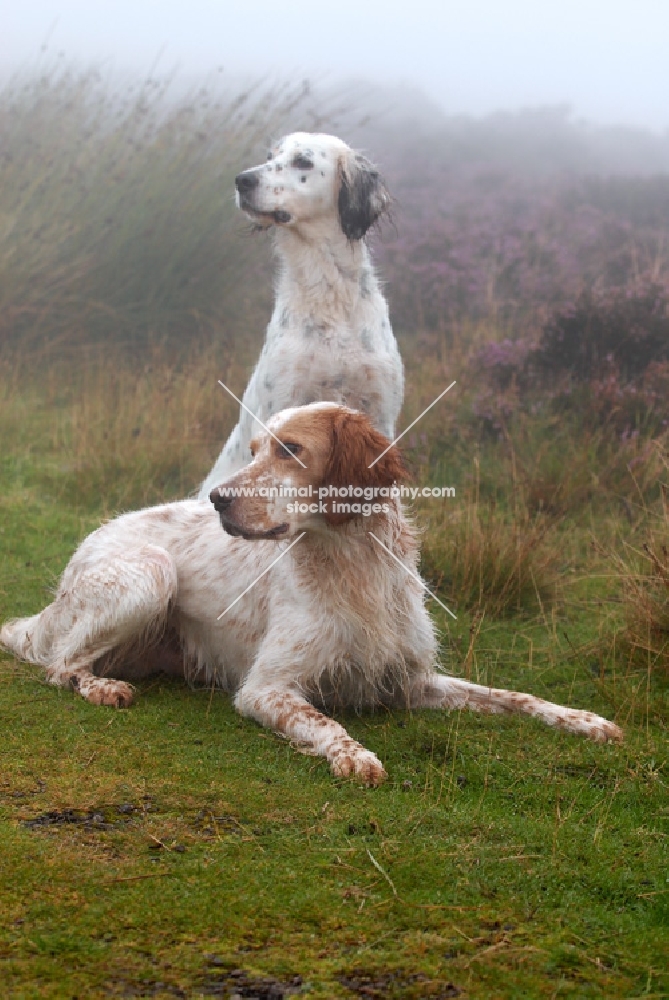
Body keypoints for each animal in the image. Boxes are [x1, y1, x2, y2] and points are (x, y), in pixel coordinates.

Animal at [1, 402, 620, 784]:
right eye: (254, 449)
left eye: (291, 449)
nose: (218, 499)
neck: (354, 568)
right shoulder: (266, 690)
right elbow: (328, 724)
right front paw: (357, 756)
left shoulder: (412, 681)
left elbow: (515, 696)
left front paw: (585, 721)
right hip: (151, 573)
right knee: (60, 664)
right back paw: (103, 687)